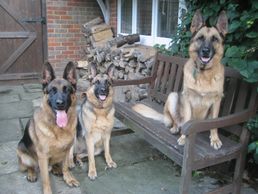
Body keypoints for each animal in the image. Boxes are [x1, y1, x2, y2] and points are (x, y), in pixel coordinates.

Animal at [17, 61, 78, 194]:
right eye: (52, 91)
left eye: (67, 90)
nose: (60, 104)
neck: (58, 129)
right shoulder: (43, 157)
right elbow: (45, 179)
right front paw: (48, 191)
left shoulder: (67, 151)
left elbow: (66, 167)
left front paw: (68, 178)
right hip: (23, 154)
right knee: (31, 166)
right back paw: (31, 174)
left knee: (55, 165)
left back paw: (56, 169)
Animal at [133, 10, 228, 150]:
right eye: (200, 38)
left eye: (215, 39)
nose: (205, 51)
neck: (203, 73)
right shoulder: (187, 99)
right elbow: (187, 120)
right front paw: (183, 138)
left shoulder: (217, 101)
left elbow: (215, 123)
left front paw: (215, 138)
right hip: (173, 97)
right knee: (177, 121)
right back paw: (175, 128)